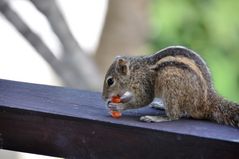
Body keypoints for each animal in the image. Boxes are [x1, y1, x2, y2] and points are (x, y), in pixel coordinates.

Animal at [102, 45, 239, 126]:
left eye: (110, 81)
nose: (103, 97)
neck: (136, 72)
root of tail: (207, 101)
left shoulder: (145, 85)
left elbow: (143, 100)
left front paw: (119, 106)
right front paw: (119, 100)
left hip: (171, 85)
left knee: (175, 116)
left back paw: (156, 118)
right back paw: (160, 106)